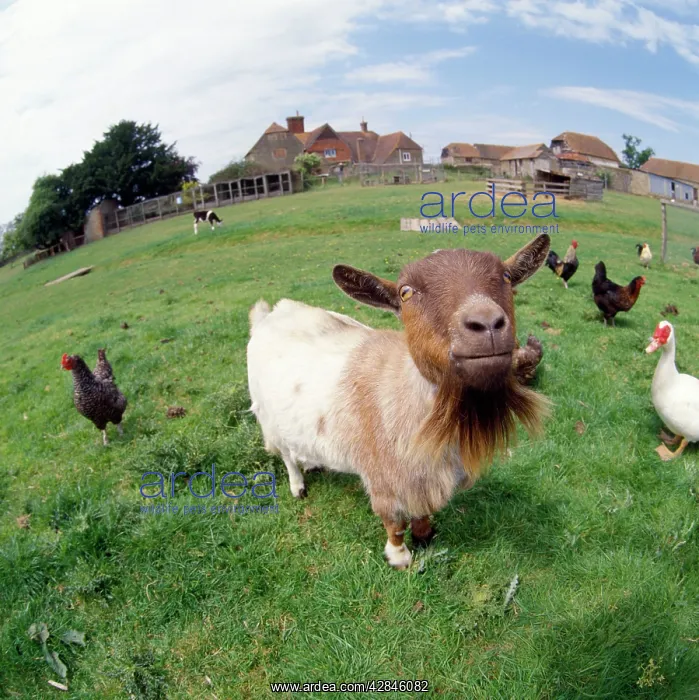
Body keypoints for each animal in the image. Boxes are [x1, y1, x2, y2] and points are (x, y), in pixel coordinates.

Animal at [246, 234, 550, 569]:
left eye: (507, 277)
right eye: (405, 292)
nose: (486, 323)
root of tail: (270, 313)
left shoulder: (422, 478)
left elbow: (421, 511)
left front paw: (425, 537)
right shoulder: (384, 477)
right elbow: (393, 521)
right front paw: (400, 557)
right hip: (268, 416)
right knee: (286, 455)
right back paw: (298, 486)